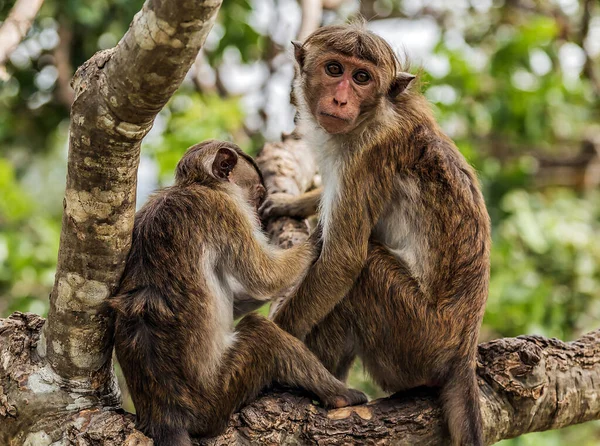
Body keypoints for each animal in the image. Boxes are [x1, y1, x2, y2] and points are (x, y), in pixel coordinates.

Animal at [110, 140, 368, 446]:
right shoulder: (225, 211)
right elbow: (266, 277)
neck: (197, 185)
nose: (258, 217)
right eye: (256, 196)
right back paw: (340, 396)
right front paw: (317, 238)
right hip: (219, 395)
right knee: (262, 333)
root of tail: (167, 416)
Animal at [262, 22, 492, 444]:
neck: (378, 112)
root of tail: (463, 356)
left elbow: (344, 258)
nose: (340, 100)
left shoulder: (368, 154)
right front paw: (292, 203)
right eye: (334, 69)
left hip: (415, 339)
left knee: (365, 268)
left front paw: (267, 341)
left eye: (362, 78)